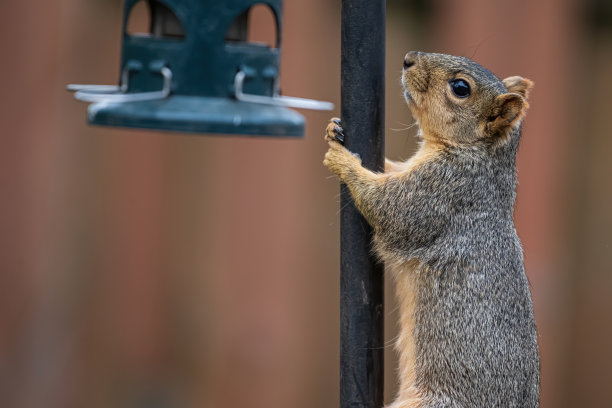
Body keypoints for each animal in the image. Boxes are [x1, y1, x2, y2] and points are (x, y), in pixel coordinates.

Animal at [322, 52, 536, 408]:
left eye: (460, 88)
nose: (409, 59)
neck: (477, 154)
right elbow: (390, 170)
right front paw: (333, 130)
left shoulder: (440, 192)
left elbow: (387, 207)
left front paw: (343, 160)